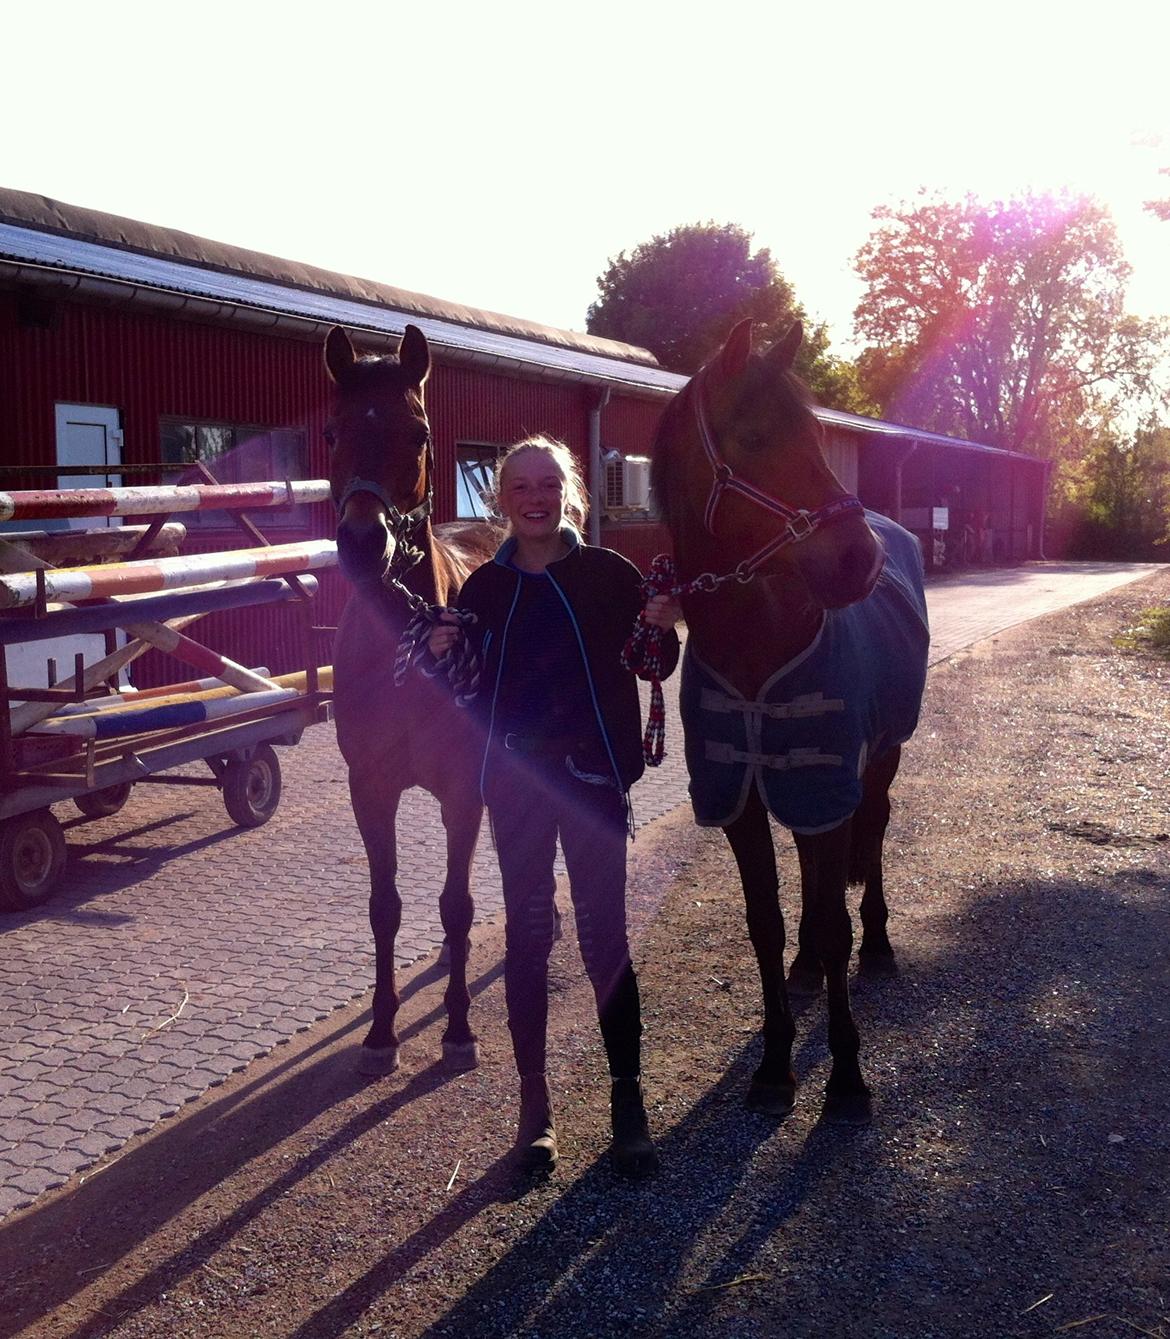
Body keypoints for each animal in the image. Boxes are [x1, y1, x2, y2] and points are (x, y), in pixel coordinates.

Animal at [650, 318, 929, 1124]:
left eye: (814, 434)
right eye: (752, 435)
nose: (859, 559)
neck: (757, 648)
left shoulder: (826, 788)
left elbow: (834, 918)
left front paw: (847, 1075)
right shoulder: (744, 803)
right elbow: (766, 924)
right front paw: (776, 1065)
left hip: (877, 764)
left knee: (873, 836)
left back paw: (879, 944)